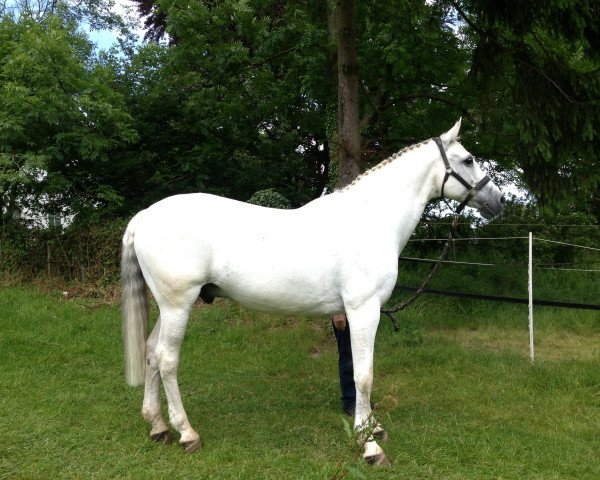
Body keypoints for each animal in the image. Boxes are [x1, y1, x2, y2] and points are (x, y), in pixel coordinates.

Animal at [120, 120, 502, 464]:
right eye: (468, 160)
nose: (498, 201)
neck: (370, 220)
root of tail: (145, 216)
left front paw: (371, 428)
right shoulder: (364, 310)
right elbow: (364, 375)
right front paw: (369, 446)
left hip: (169, 307)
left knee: (151, 352)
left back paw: (158, 428)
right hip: (178, 306)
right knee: (167, 360)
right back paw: (187, 433)